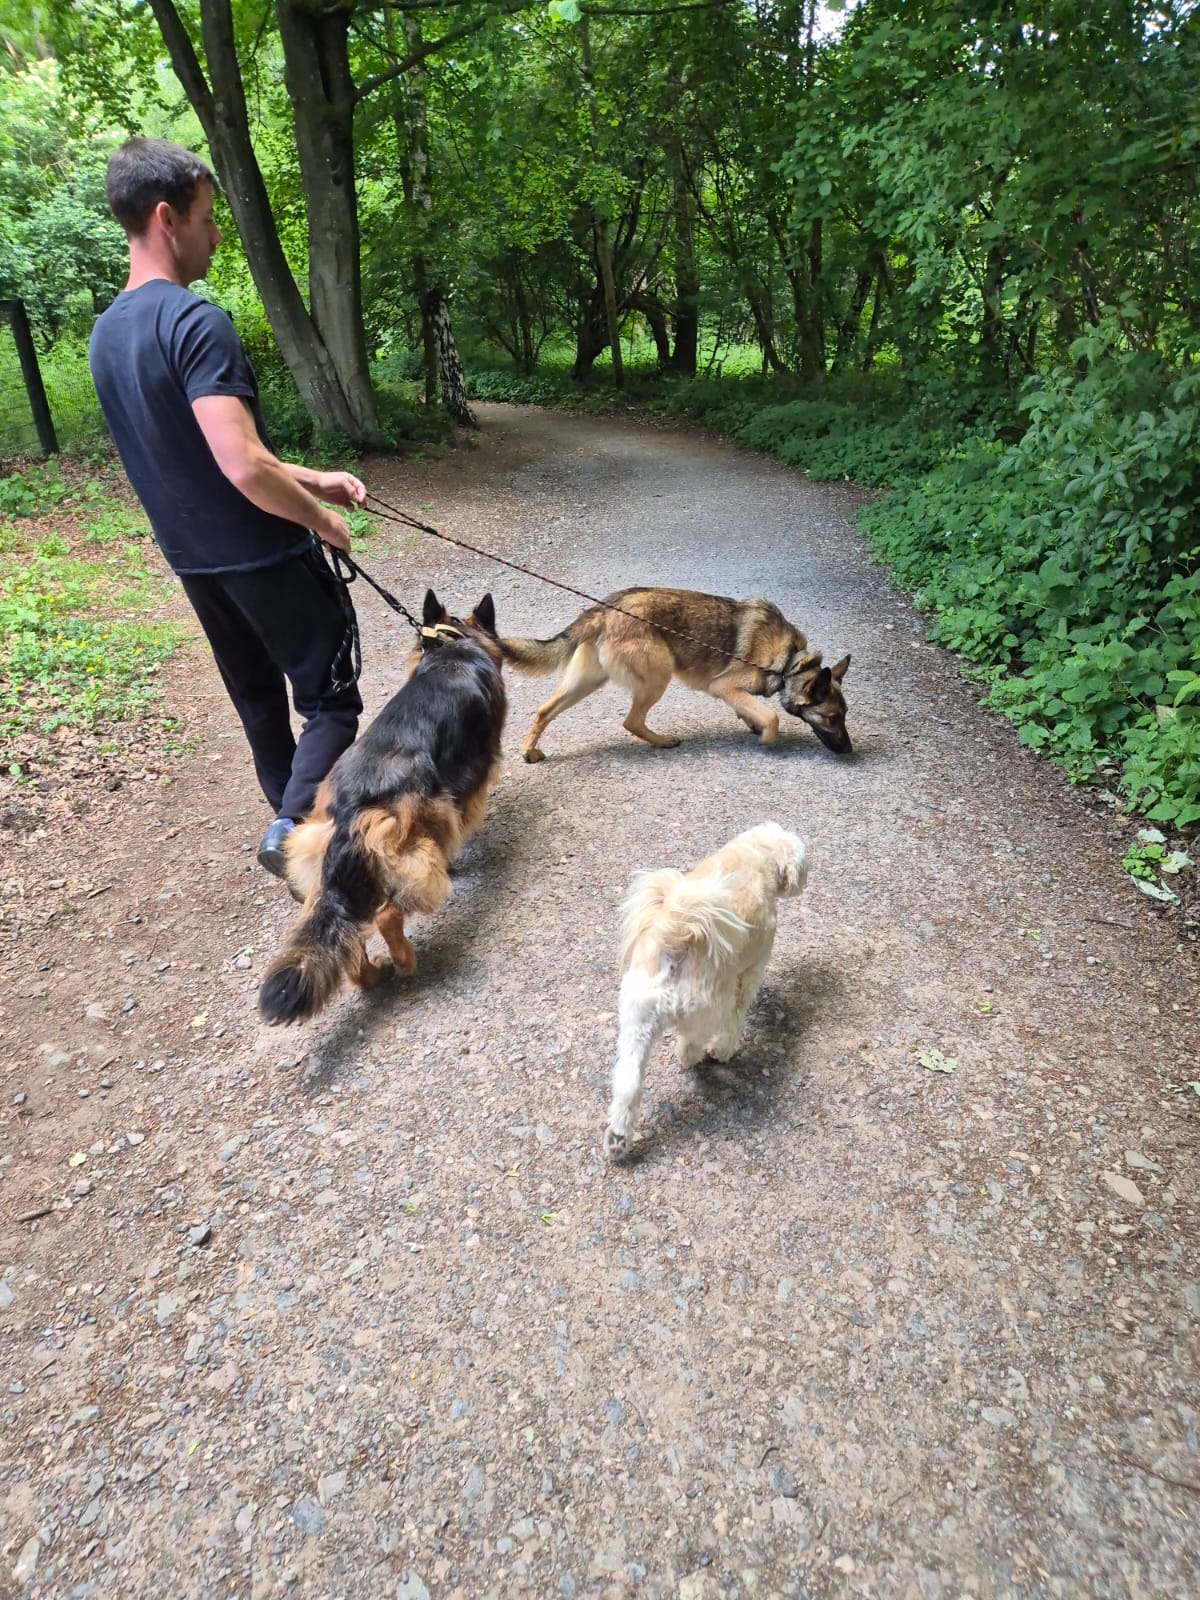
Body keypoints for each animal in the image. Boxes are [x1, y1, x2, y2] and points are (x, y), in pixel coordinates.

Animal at [258, 590, 506, 1026]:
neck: (453, 648)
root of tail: (352, 806)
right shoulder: (472, 781)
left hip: (322, 866)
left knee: (350, 937)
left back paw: (372, 975)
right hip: (417, 842)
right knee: (386, 915)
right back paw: (405, 960)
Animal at [498, 587, 850, 762]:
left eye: (843, 717)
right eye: (832, 718)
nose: (849, 750)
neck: (791, 662)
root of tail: (604, 608)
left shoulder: (734, 692)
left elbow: (753, 710)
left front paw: (752, 723)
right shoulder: (723, 685)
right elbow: (772, 717)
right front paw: (766, 738)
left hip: (586, 682)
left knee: (544, 711)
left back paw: (529, 750)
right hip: (658, 676)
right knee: (631, 722)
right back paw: (663, 741)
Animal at [604, 822, 808, 1157]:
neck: (758, 855)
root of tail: (678, 936)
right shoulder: (752, 972)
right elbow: (737, 1018)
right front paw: (724, 1050)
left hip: (637, 1019)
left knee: (628, 1084)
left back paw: (617, 1138)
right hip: (706, 1009)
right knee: (693, 1041)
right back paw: (695, 1056)